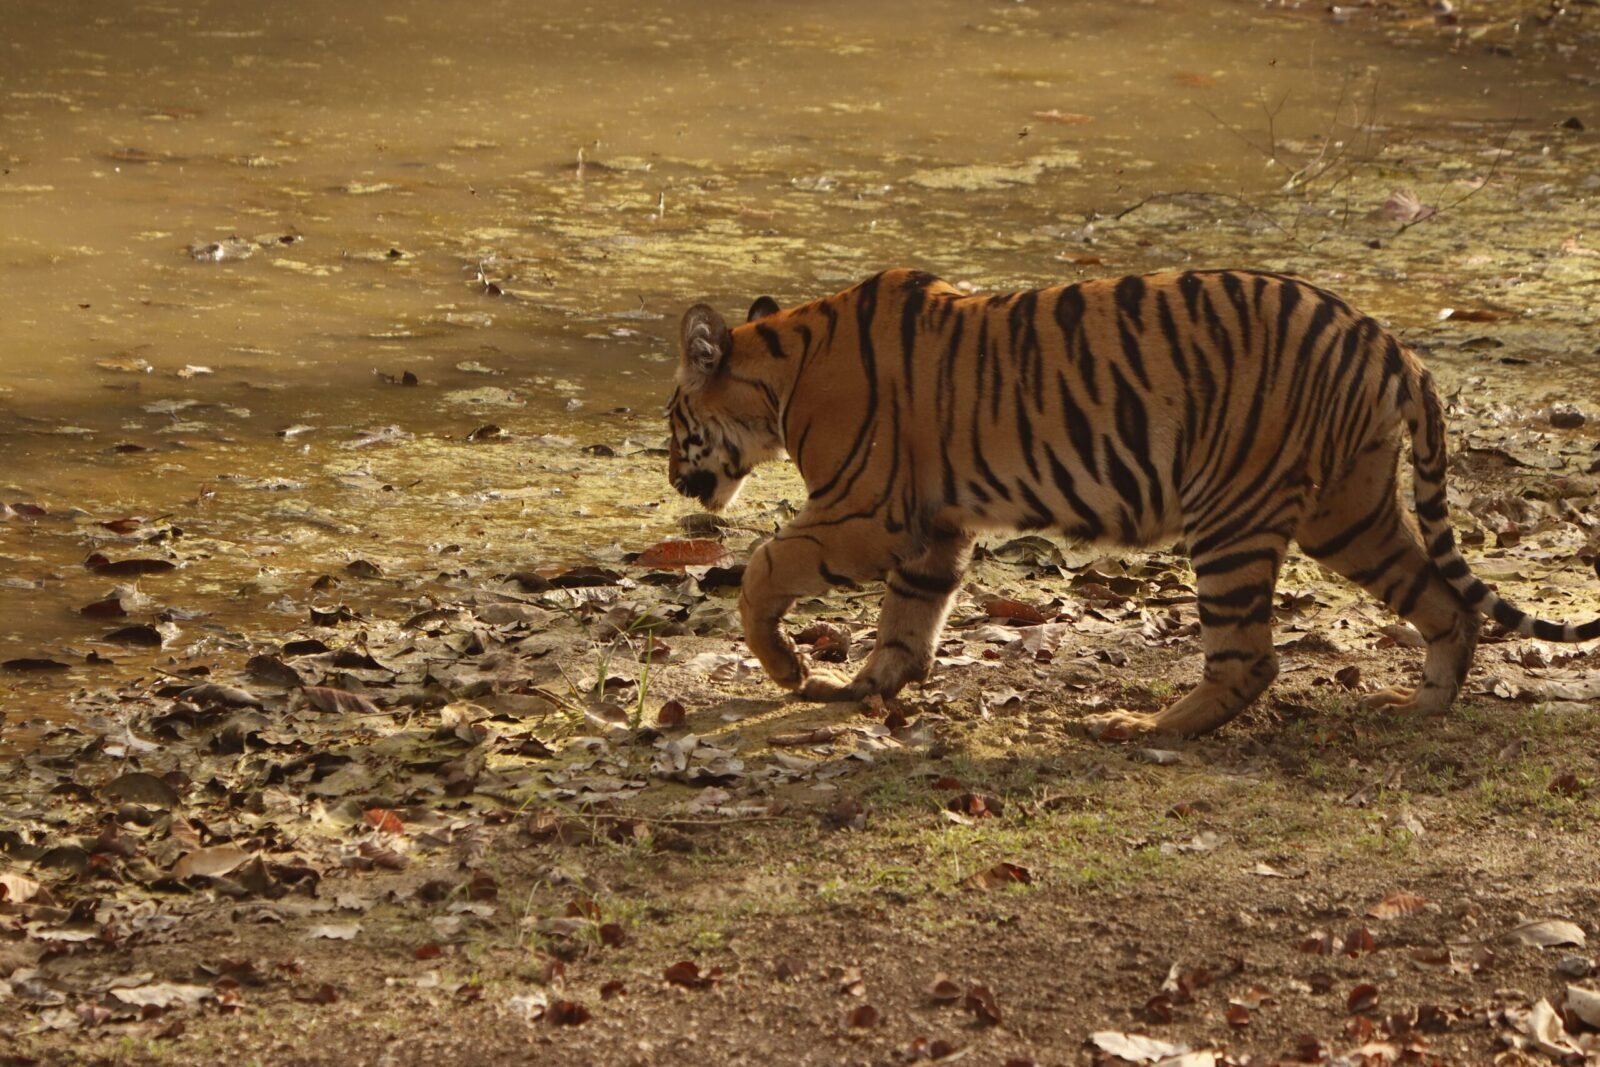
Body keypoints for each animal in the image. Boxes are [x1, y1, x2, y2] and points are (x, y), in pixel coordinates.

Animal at [665, 268, 1600, 737]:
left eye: (674, 421)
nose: (674, 478)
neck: (779, 373)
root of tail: (1388, 340)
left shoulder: (868, 512)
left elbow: (766, 567)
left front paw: (790, 669)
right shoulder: (935, 525)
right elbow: (910, 615)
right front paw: (863, 684)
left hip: (1233, 514)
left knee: (1248, 659)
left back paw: (1142, 724)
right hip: (1353, 507)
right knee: (1446, 602)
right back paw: (1421, 705)